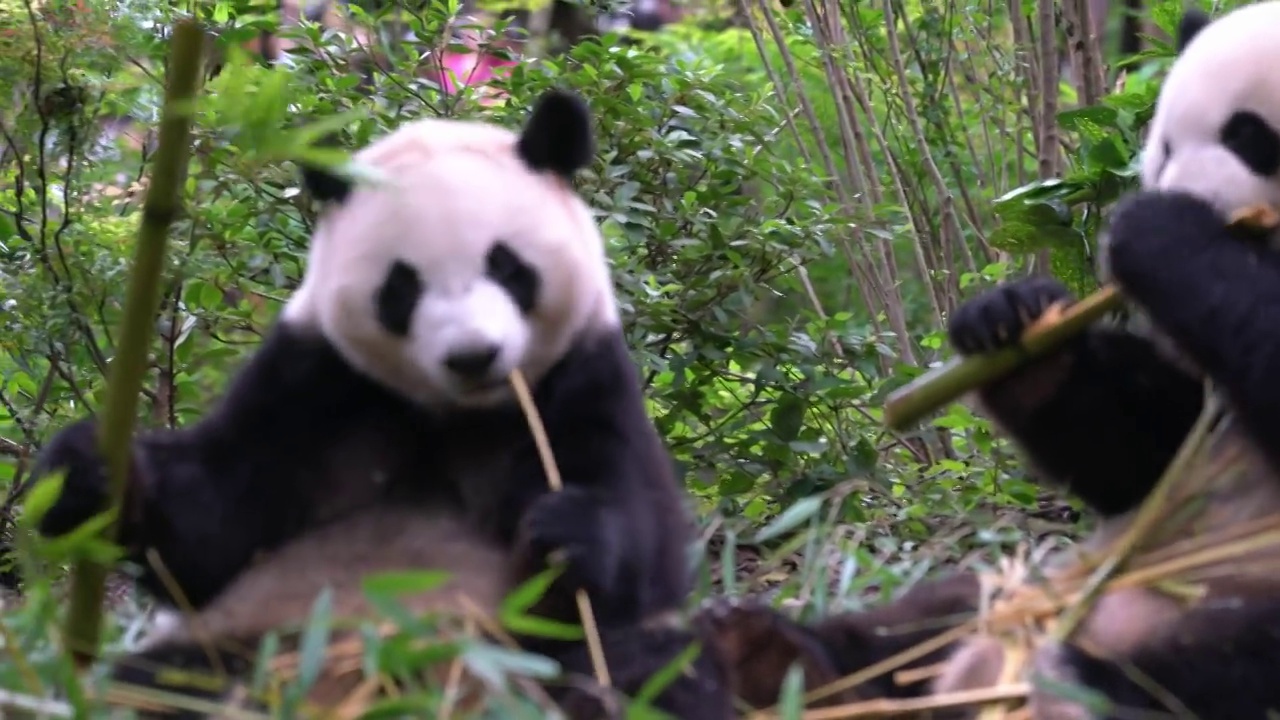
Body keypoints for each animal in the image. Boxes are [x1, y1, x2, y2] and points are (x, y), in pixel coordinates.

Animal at [691, 2, 1280, 712]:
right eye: (1163, 147)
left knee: (1211, 671)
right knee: (933, 613)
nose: (1190, 194)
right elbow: (1145, 449)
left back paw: (1068, 680)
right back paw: (780, 659)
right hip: (1025, 578)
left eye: (1250, 138)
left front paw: (1161, 231)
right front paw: (1012, 325)